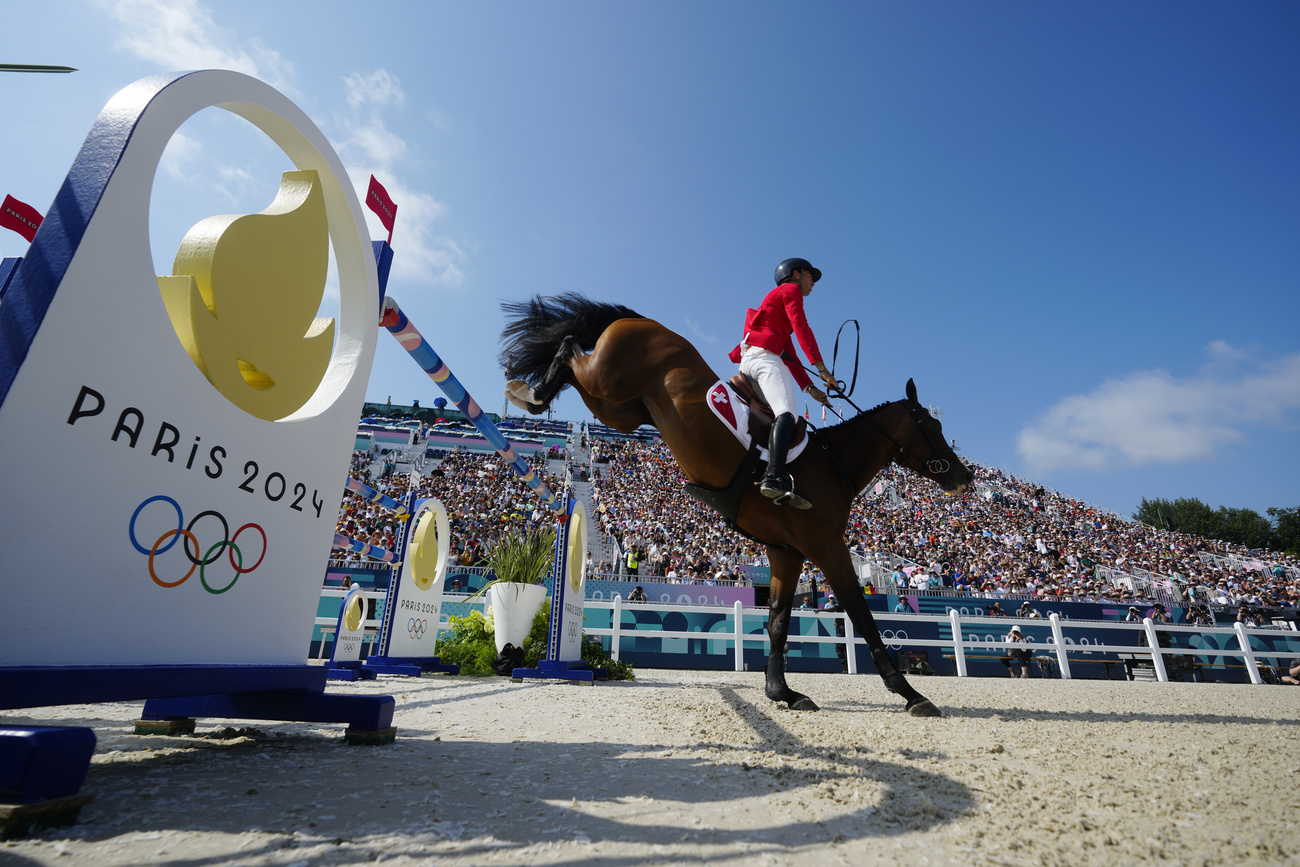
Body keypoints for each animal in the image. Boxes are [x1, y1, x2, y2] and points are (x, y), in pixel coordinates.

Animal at [501, 295, 972, 717]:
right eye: (932, 426)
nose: (963, 477)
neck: (834, 463)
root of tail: (640, 320)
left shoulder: (787, 553)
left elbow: (779, 622)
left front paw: (782, 692)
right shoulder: (828, 548)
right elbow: (862, 615)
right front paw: (909, 693)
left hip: (620, 409)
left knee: (573, 366)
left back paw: (532, 393)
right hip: (608, 381)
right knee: (569, 350)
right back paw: (531, 393)